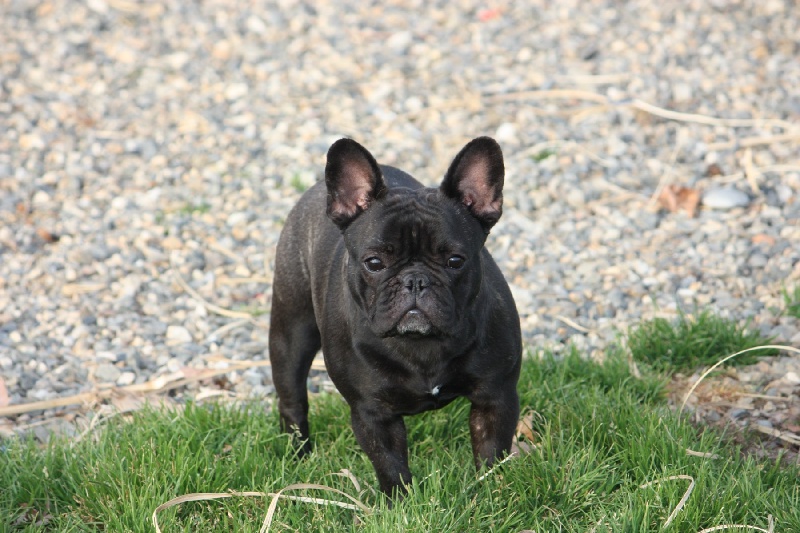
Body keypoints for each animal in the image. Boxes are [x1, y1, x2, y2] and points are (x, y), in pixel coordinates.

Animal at [266, 136, 520, 494]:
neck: (421, 344)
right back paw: (298, 454)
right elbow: (390, 465)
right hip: (291, 333)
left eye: (455, 261)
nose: (415, 280)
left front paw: (491, 490)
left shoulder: (495, 396)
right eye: (374, 263)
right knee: (292, 399)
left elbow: (490, 451)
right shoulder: (372, 414)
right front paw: (401, 500)